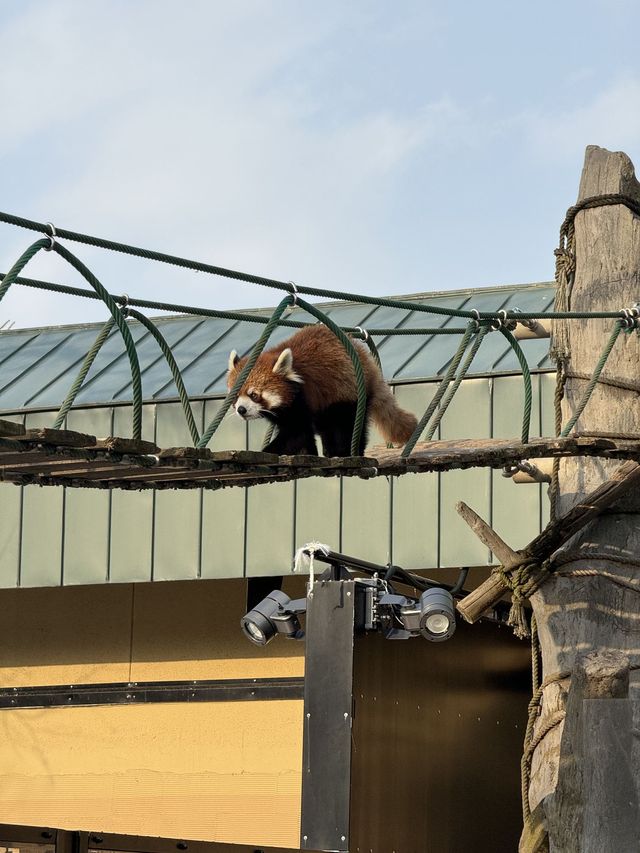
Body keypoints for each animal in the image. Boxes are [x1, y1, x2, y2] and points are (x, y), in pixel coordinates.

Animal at [228, 322, 418, 456]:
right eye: (236, 396)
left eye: (254, 395)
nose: (241, 409)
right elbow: (302, 434)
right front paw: (308, 452)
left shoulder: (303, 398)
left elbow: (296, 433)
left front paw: (268, 451)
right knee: (326, 426)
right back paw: (330, 451)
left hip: (350, 393)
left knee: (347, 423)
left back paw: (348, 452)